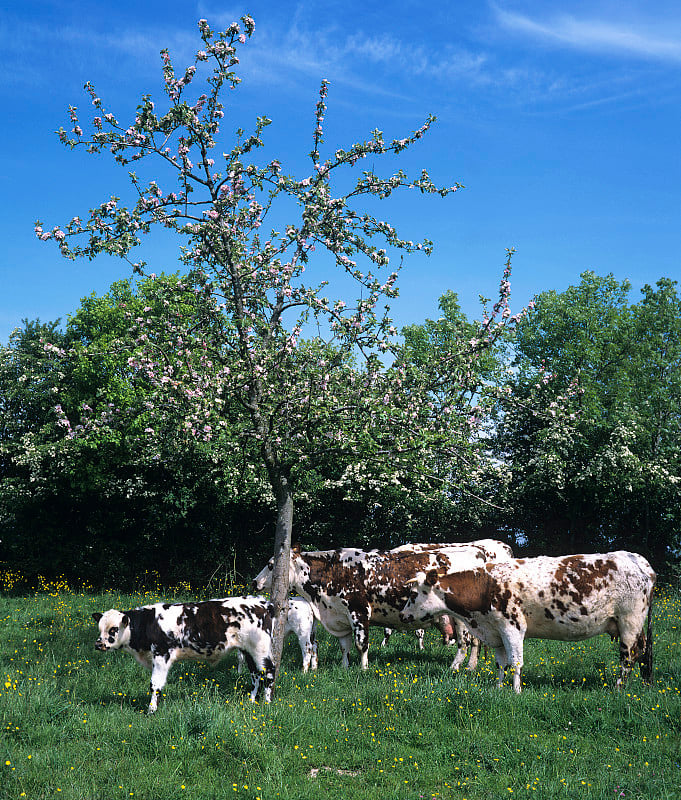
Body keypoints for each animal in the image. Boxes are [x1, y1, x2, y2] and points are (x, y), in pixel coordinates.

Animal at [92, 592, 276, 712]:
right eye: (100, 628)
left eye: (114, 629)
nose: (99, 644)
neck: (148, 623)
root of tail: (262, 602)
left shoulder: (161, 655)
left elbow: (154, 684)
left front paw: (151, 710)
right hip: (248, 650)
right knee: (255, 675)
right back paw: (251, 701)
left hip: (260, 648)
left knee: (269, 672)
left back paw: (267, 703)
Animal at [252, 544, 508, 668]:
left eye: (271, 564)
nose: (255, 582)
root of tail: (476, 551)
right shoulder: (340, 616)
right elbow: (345, 646)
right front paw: (345, 668)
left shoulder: (358, 611)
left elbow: (361, 644)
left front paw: (363, 670)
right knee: (475, 642)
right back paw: (470, 668)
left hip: (460, 618)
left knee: (465, 642)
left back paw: (456, 667)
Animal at [404, 552, 652, 692]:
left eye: (414, 594)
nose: (404, 616)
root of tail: (639, 561)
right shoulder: (496, 632)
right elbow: (501, 663)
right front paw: (497, 688)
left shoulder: (512, 628)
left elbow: (516, 662)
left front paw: (516, 692)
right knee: (642, 652)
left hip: (629, 623)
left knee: (628, 657)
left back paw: (618, 689)